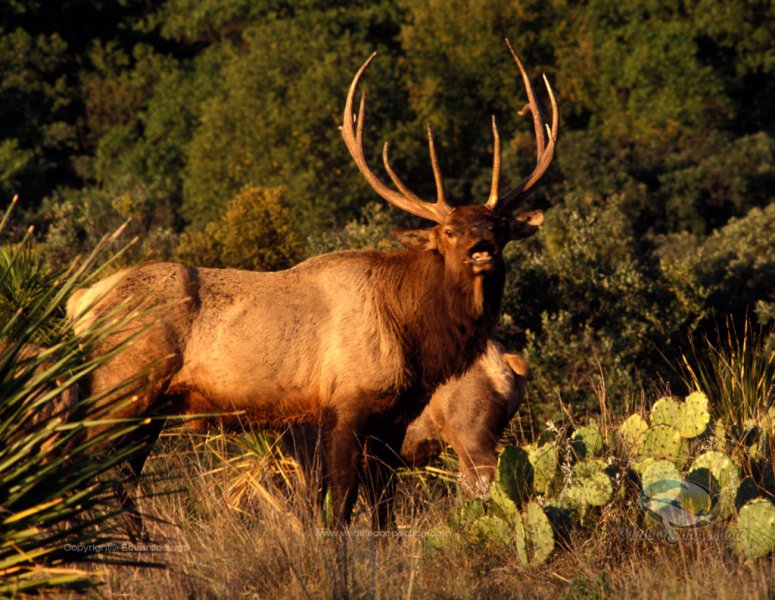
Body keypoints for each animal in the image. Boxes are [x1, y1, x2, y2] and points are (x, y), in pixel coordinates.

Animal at [63, 39, 556, 532]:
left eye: (498, 226)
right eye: (449, 231)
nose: (481, 248)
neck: (413, 335)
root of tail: (80, 302)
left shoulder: (392, 419)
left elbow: (382, 509)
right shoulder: (345, 405)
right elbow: (340, 506)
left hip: (145, 407)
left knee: (117, 479)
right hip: (120, 387)